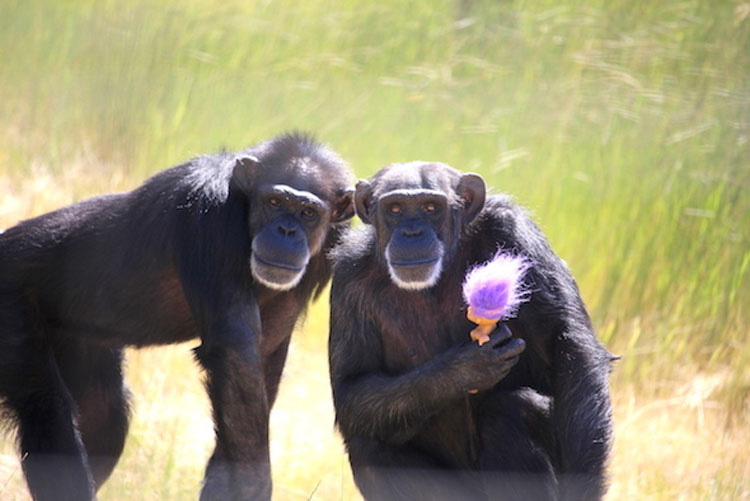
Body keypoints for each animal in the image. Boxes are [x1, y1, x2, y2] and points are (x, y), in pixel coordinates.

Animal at [0, 133, 356, 500]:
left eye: (308, 212)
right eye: (274, 201)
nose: (286, 229)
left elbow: (255, 365)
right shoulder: (212, 216)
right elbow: (235, 355)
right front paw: (254, 483)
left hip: (75, 333)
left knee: (104, 413)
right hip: (10, 296)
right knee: (47, 408)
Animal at [330, 161, 616, 500]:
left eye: (430, 207)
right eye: (395, 208)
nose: (412, 232)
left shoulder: (515, 232)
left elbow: (568, 345)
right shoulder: (347, 276)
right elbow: (351, 385)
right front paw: (462, 370)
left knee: (509, 410)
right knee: (368, 448)